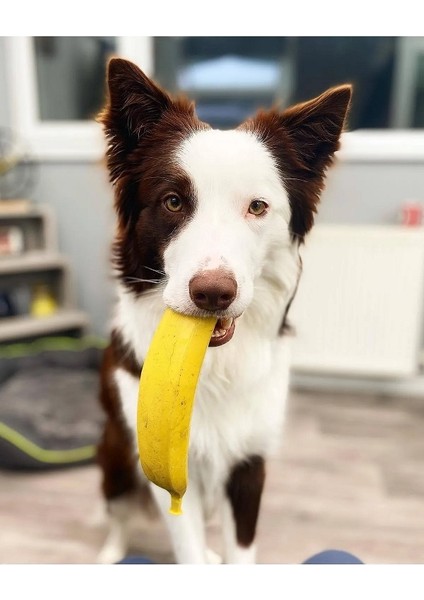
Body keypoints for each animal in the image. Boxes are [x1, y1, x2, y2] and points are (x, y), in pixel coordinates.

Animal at [96, 58, 352, 564]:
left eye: (257, 207)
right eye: (173, 201)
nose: (213, 294)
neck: (211, 367)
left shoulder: (250, 463)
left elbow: (240, 550)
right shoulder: (166, 469)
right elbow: (189, 549)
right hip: (116, 457)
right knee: (117, 513)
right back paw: (111, 553)